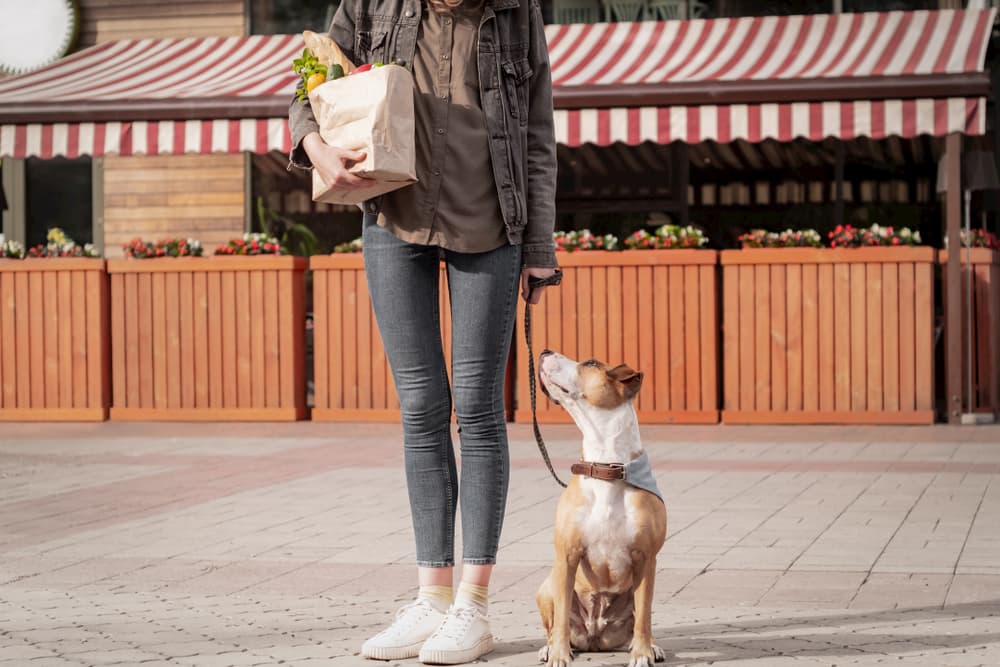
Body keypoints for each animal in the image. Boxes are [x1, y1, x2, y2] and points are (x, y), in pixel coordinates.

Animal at [536, 350, 668, 667]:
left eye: (592, 363)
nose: (545, 351)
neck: (607, 467)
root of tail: (595, 638)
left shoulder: (646, 559)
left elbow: (644, 618)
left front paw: (642, 654)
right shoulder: (567, 556)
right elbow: (560, 619)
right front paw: (558, 655)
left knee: (641, 617)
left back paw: (651, 646)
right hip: (546, 586)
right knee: (553, 622)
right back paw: (548, 648)